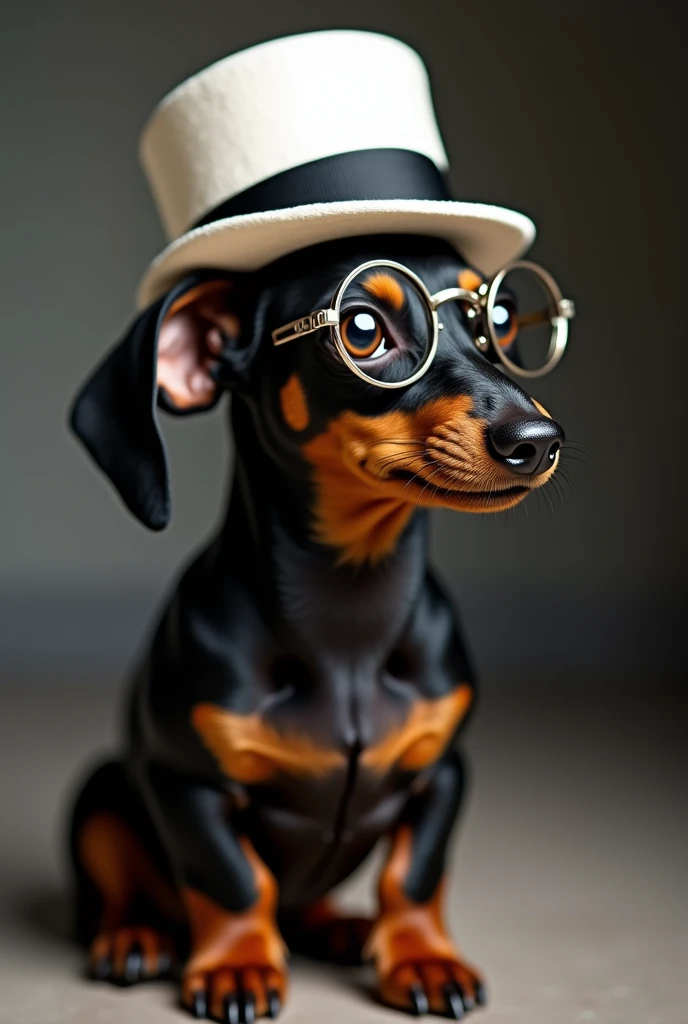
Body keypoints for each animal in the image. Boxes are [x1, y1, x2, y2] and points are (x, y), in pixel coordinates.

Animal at [68, 234, 565, 1024]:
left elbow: (414, 876)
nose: (539, 439)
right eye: (362, 329)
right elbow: (234, 880)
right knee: (125, 888)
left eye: (502, 316)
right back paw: (135, 935)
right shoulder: (185, 783)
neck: (349, 618)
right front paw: (237, 965)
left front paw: (422, 957)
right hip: (103, 793)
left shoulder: (444, 769)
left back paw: (340, 926)